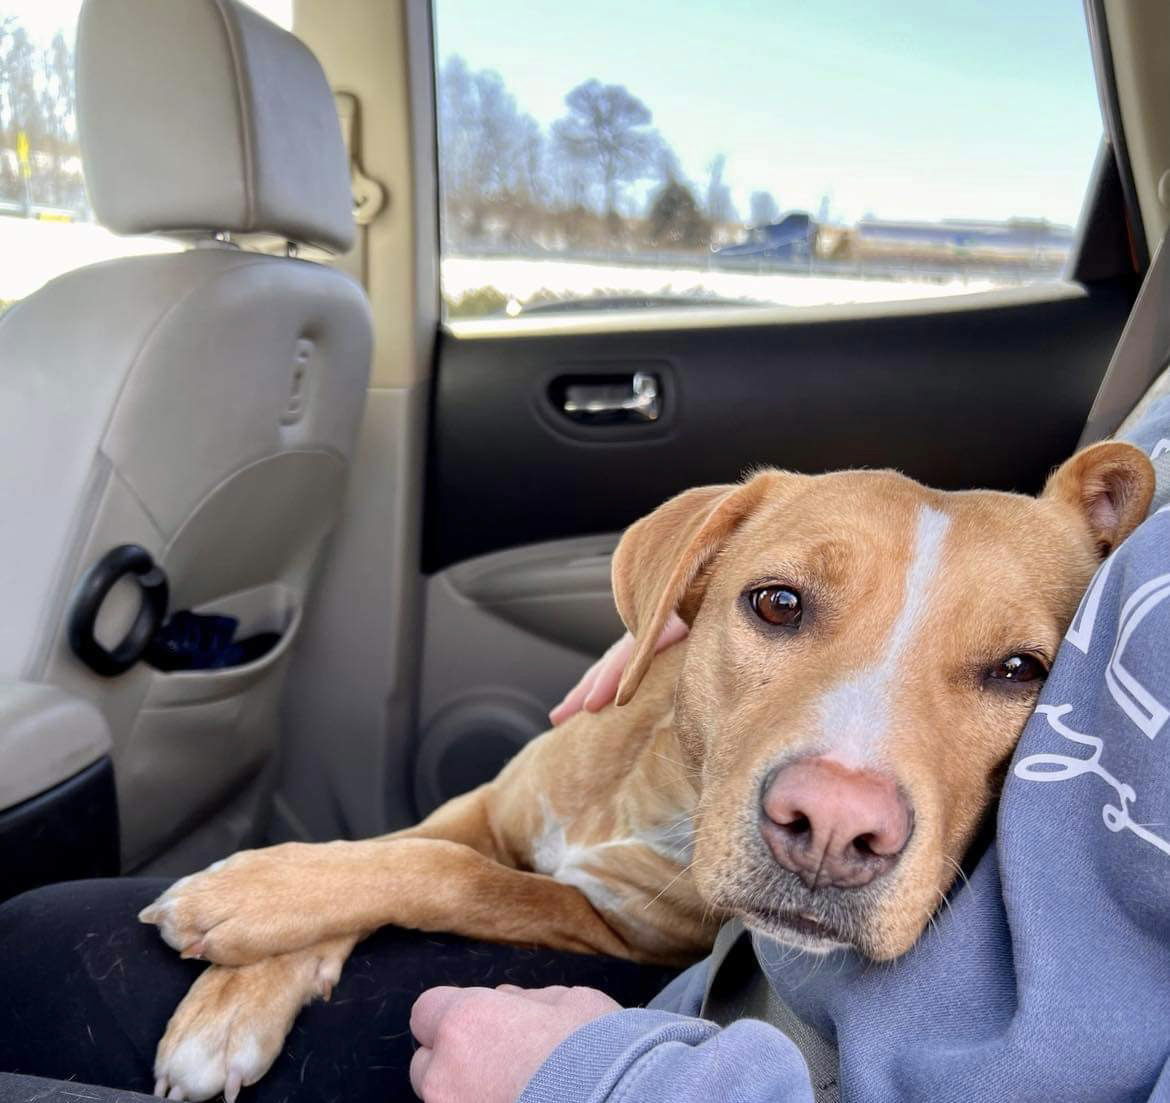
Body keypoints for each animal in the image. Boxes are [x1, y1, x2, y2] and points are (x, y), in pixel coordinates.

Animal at [139, 442, 1151, 1103]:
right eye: (776, 603)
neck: (659, 796)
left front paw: (251, 911)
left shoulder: (612, 930)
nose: (832, 827)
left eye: (1021, 670)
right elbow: (390, 850)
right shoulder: (481, 807)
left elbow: (445, 874)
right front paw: (245, 972)